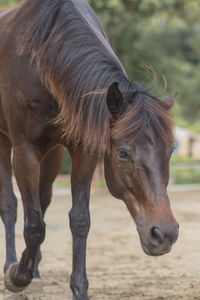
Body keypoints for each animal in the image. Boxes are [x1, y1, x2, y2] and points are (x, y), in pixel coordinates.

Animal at [0, 0, 178, 300]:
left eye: (171, 151)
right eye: (123, 153)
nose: (164, 234)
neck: (41, 57)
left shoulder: (84, 150)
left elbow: (79, 220)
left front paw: (78, 289)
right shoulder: (24, 150)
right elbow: (33, 225)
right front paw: (16, 276)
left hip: (52, 154)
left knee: (43, 200)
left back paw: (35, 270)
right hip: (5, 144)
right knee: (11, 205)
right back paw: (12, 266)